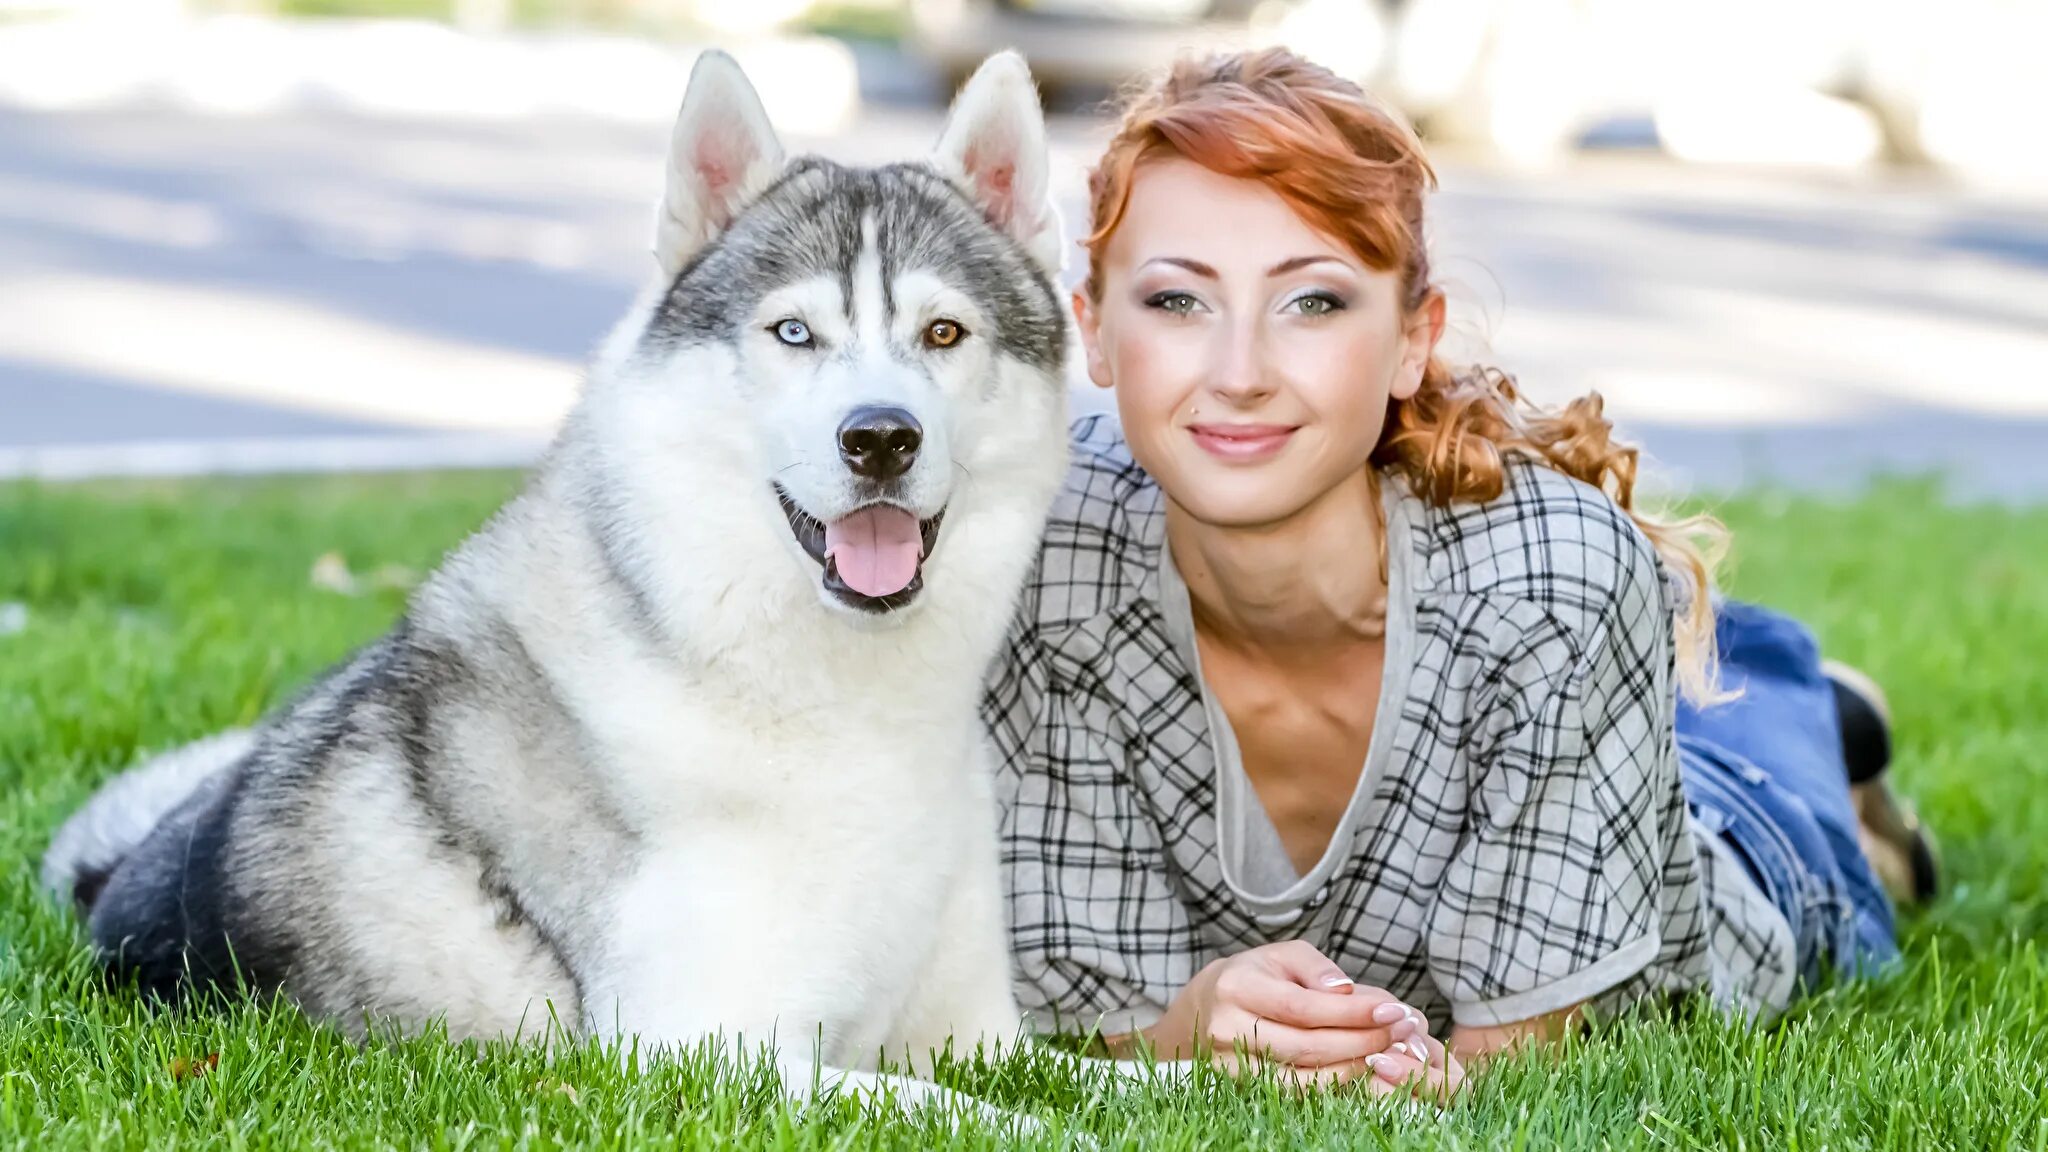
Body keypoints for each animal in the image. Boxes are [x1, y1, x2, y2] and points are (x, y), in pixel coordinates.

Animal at [39, 51, 1073, 1115]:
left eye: (944, 333)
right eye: (794, 333)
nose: (879, 438)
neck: (843, 707)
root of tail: (104, 875)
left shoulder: (978, 1035)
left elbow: (1104, 1083)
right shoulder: (705, 1051)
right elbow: (1000, 1119)